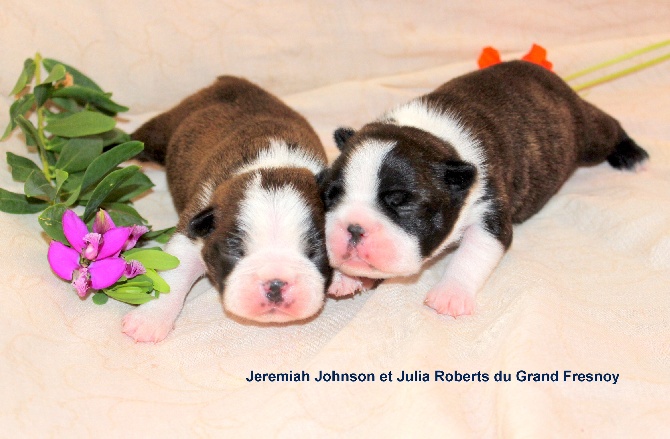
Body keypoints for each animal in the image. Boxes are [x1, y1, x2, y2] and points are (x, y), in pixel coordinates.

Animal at [123, 76, 334, 344]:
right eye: (235, 251)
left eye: (315, 251)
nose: (275, 283)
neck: (273, 164)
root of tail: (229, 80)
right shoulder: (194, 227)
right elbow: (174, 273)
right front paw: (150, 319)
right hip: (160, 133)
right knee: (135, 143)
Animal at [322, 61, 652, 316]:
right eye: (332, 196)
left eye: (399, 201)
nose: (354, 228)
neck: (434, 137)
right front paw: (344, 277)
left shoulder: (489, 214)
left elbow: (470, 257)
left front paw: (451, 294)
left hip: (586, 133)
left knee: (607, 127)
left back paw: (633, 156)